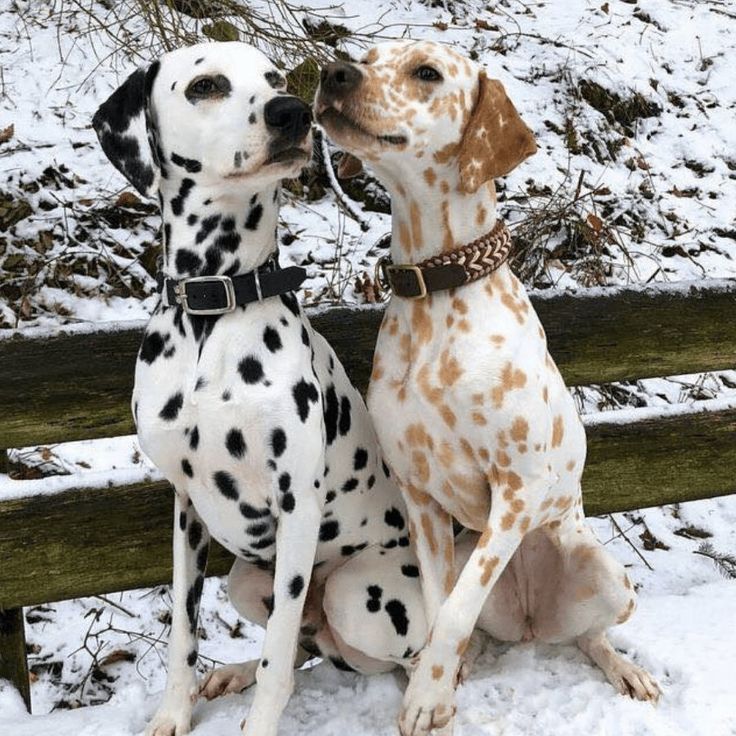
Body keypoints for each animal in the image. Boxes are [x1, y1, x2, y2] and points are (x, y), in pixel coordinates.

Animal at [93, 43, 436, 736]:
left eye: (276, 77)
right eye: (206, 85)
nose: (292, 112)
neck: (214, 307)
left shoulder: (297, 506)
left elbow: (279, 651)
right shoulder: (187, 511)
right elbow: (185, 631)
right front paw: (176, 711)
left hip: (358, 593)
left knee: (393, 647)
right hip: (247, 580)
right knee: (303, 643)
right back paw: (236, 672)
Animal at [316, 41, 660, 736]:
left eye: (426, 72)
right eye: (367, 56)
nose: (332, 72)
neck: (437, 292)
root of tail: (529, 622)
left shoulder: (518, 488)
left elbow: (455, 607)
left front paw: (426, 697)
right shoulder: (420, 495)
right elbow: (437, 604)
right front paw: (437, 681)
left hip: (603, 571)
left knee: (590, 637)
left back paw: (624, 668)